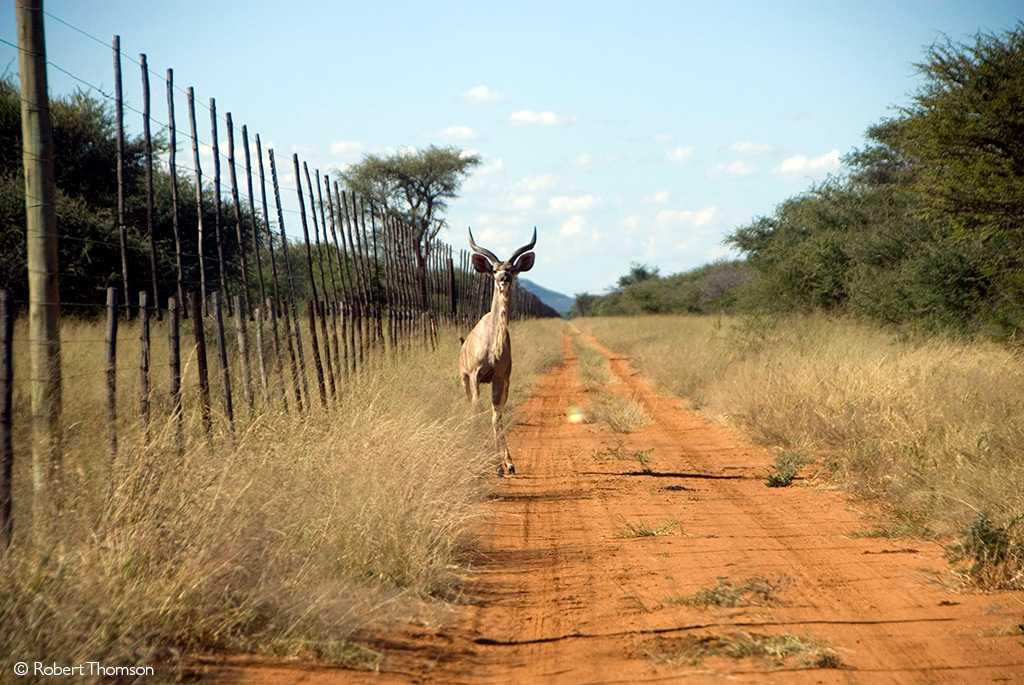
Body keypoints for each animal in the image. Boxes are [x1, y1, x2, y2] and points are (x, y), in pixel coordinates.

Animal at [456, 227, 536, 473]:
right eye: (494, 270)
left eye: (511, 269)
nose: (503, 279)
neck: (493, 345)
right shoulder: (474, 375)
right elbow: (477, 411)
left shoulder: (501, 377)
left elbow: (496, 415)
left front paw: (506, 464)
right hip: (464, 380)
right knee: (471, 407)